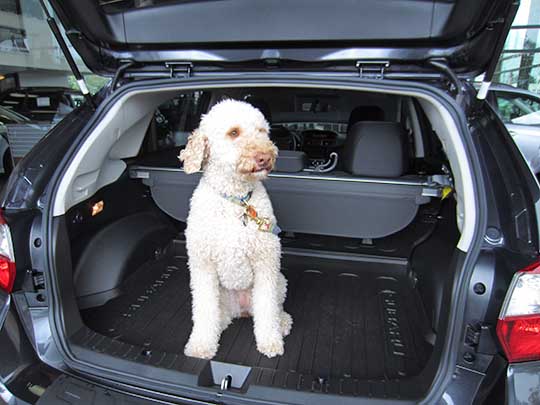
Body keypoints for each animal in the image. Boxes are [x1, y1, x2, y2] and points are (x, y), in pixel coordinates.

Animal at [179, 99, 294, 358]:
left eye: (262, 131)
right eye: (233, 132)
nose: (265, 157)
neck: (235, 199)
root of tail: (241, 310)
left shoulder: (266, 262)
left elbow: (267, 308)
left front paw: (270, 341)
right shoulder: (202, 265)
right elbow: (204, 309)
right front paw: (201, 345)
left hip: (280, 281)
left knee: (274, 307)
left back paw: (282, 321)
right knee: (217, 314)